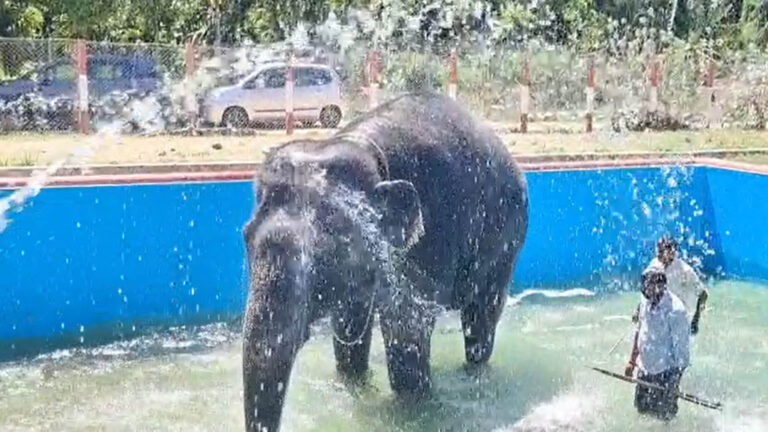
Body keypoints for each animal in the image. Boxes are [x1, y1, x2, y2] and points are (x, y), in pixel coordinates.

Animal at [242, 91, 529, 432]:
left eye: (325, 254)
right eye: (245, 238)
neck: (359, 148)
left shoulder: (429, 239)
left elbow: (407, 331)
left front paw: (411, 409)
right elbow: (349, 323)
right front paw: (355, 385)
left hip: (508, 237)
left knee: (481, 316)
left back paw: (474, 374)